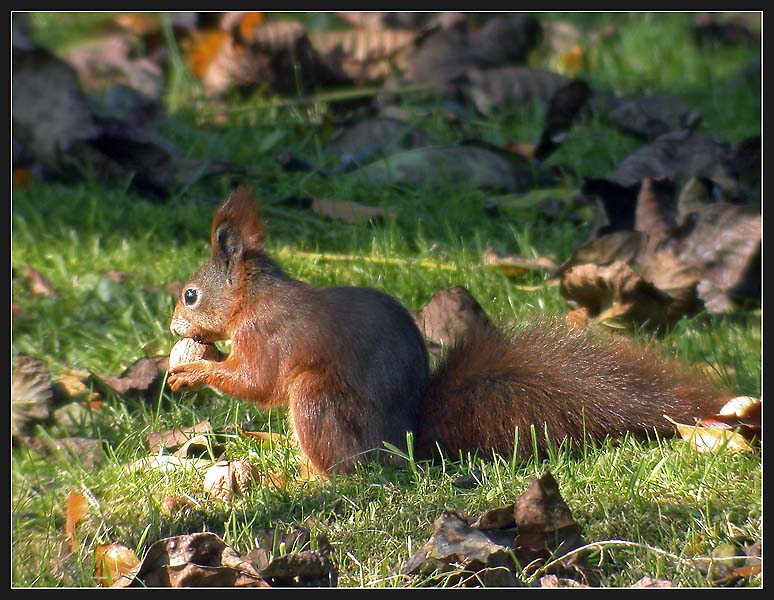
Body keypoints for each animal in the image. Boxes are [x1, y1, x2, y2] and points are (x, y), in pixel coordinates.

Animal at [167, 186, 736, 474]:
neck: (251, 298)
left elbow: (257, 382)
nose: (173, 326)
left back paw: (306, 479)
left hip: (316, 399)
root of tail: (404, 444)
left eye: (191, 294)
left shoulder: (268, 335)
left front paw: (192, 371)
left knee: (345, 468)